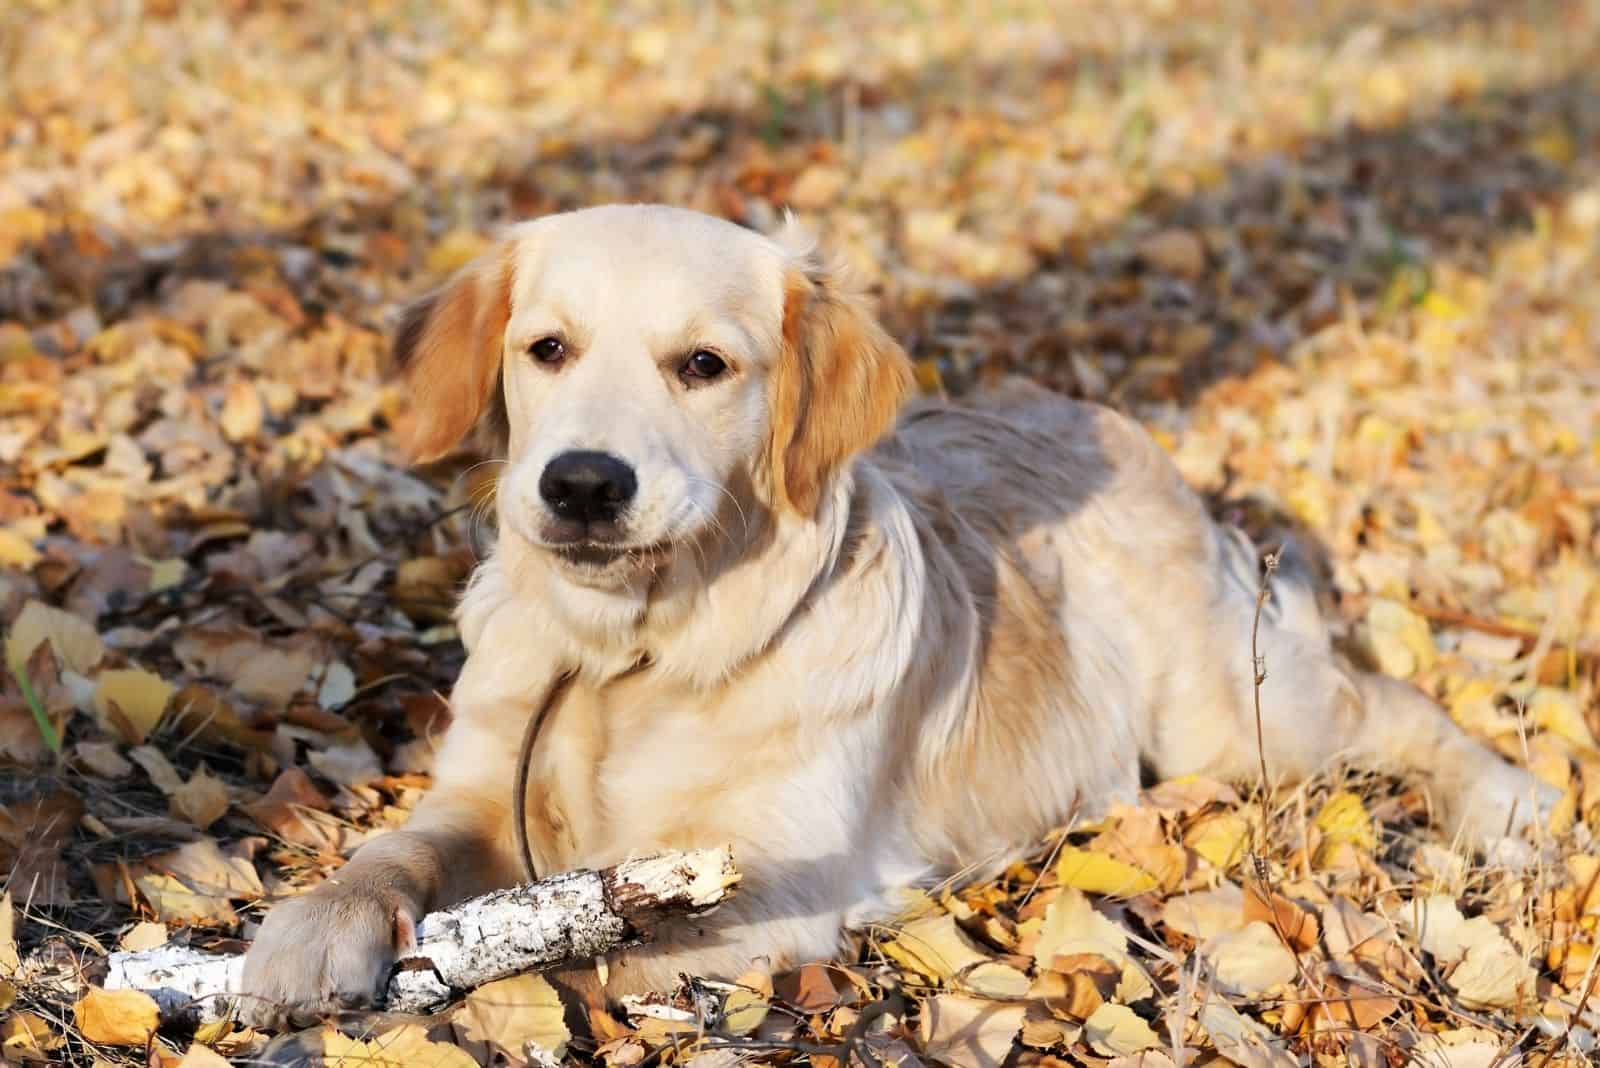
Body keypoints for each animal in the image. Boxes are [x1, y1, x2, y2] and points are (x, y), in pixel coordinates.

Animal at [233, 202, 1548, 1023]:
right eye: (545, 348)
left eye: (703, 366)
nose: (584, 485)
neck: (636, 653)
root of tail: (1109, 418)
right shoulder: (479, 792)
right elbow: (396, 851)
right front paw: (311, 930)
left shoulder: (779, 877)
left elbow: (603, 954)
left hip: (1232, 720)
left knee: (1391, 708)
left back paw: (1508, 803)